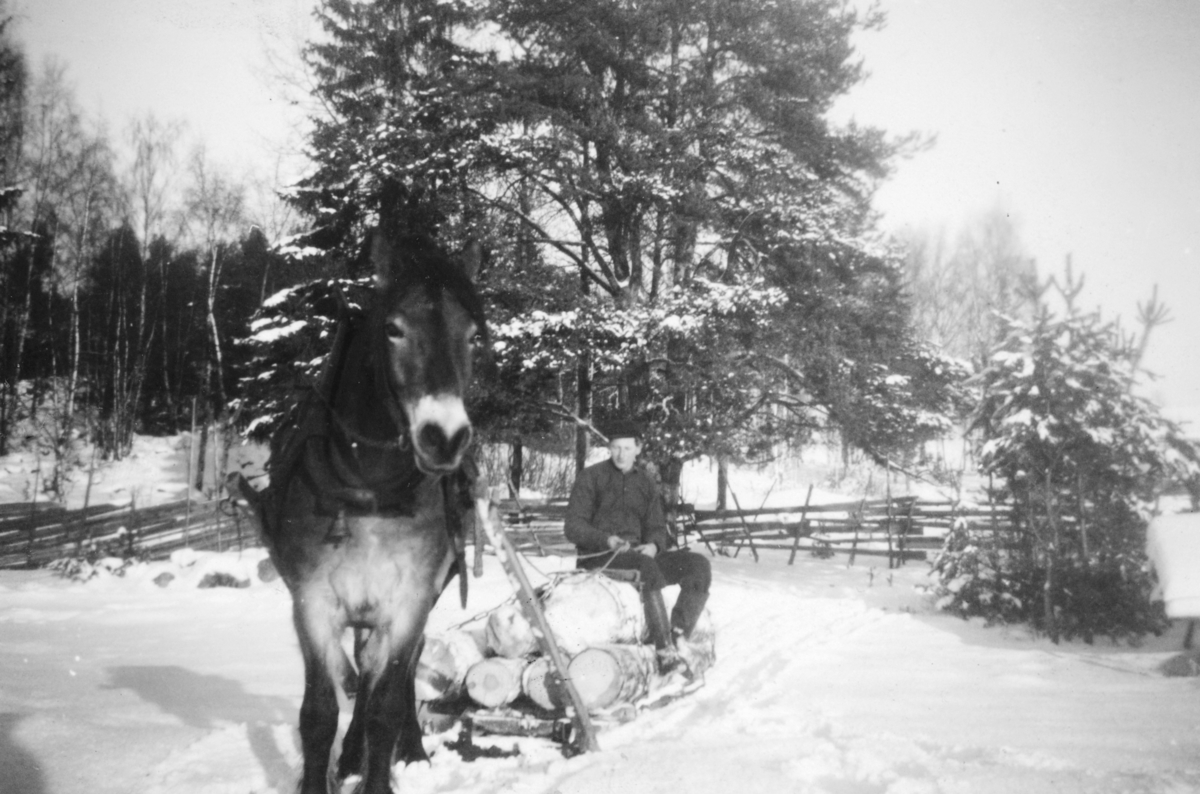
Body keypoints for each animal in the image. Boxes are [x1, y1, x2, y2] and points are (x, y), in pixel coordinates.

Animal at [243, 224, 487, 794]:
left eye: (472, 335)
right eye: (394, 328)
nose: (444, 437)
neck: (370, 491)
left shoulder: (410, 601)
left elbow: (386, 705)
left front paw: (384, 769)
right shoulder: (312, 601)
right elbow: (319, 714)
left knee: (390, 675)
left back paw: (408, 752)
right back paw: (351, 756)